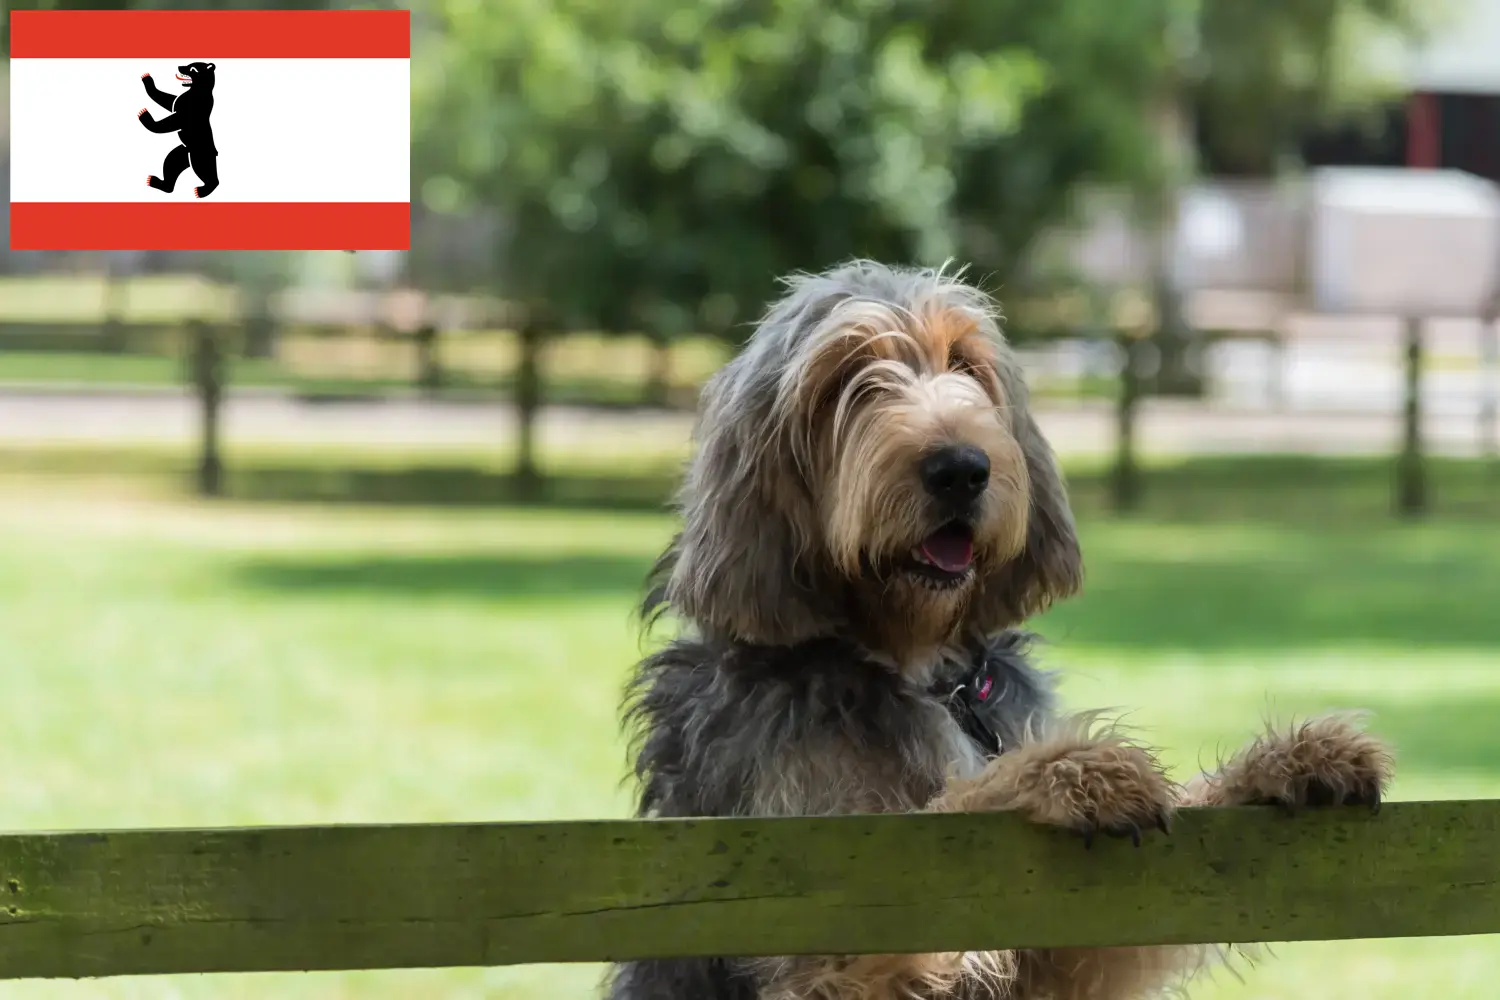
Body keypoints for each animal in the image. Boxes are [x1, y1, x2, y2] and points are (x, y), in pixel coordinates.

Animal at [609, 262, 1392, 1000]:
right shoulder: (822, 912)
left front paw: (1288, 760)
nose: (961, 468)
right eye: (846, 379)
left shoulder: (1055, 948)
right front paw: (1069, 772)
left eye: (965, 362)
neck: (919, 665)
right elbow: (949, 810)